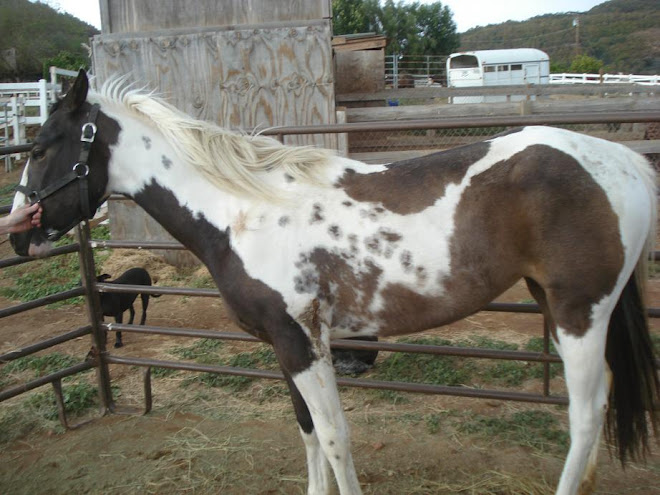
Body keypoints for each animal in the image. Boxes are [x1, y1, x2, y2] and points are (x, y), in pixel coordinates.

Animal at [9, 70, 659, 495]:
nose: (18, 235)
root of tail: (625, 161)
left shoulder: (305, 342)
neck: (241, 213)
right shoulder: (286, 346)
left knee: (585, 414)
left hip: (581, 313)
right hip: (555, 303)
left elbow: (333, 437)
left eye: (40, 147)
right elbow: (306, 433)